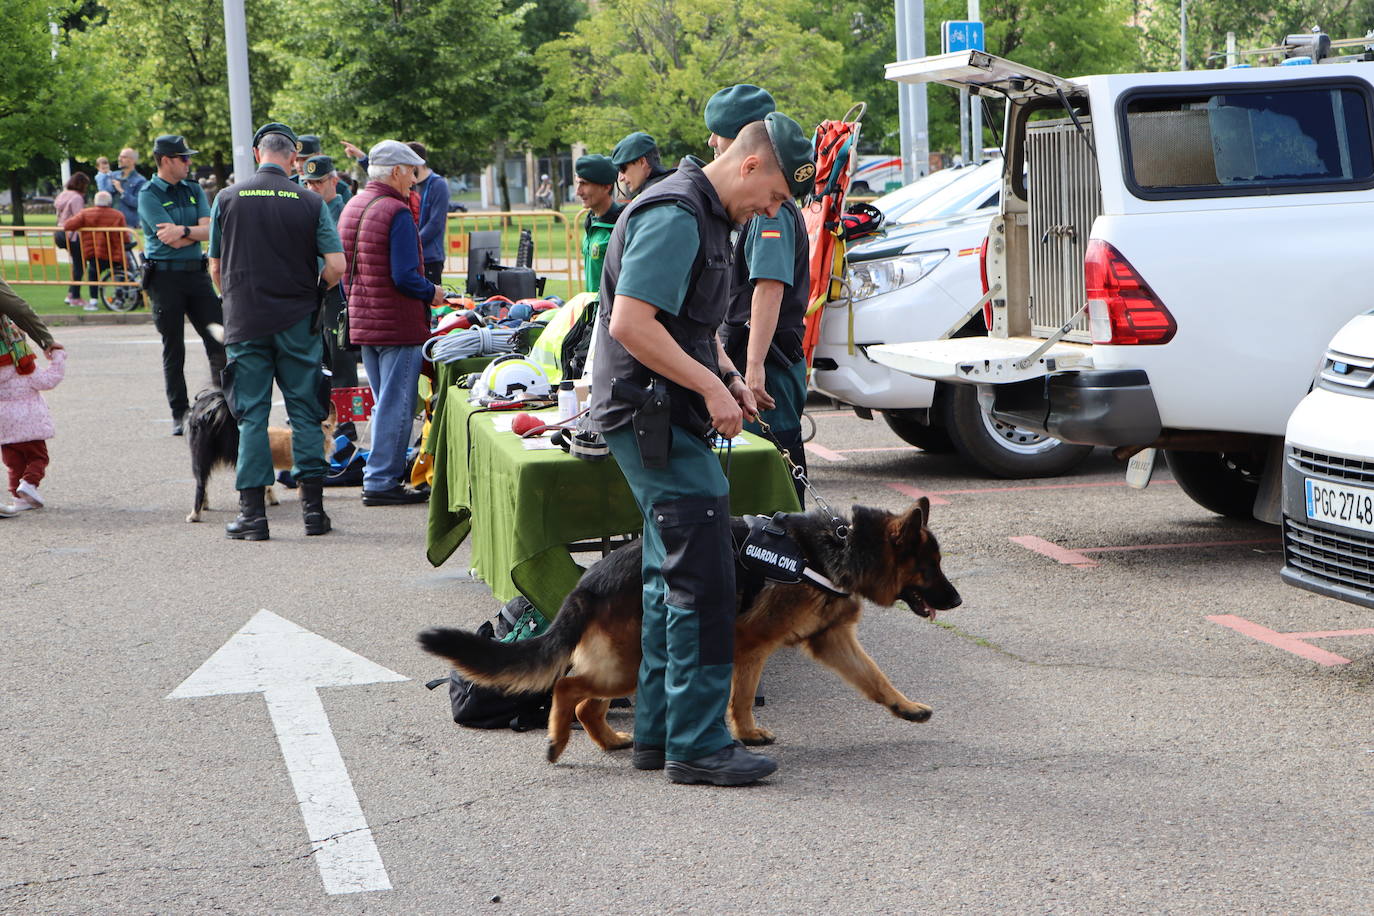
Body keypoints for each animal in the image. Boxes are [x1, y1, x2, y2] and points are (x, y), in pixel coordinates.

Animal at [417, 497, 967, 763]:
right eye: (932, 567)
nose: (959, 600)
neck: (842, 547)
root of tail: (590, 580)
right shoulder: (753, 645)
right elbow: (741, 696)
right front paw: (746, 734)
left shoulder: (832, 640)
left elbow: (875, 678)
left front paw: (906, 708)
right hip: (627, 665)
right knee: (567, 688)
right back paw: (557, 741)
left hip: (627, 664)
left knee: (586, 704)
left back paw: (611, 742)